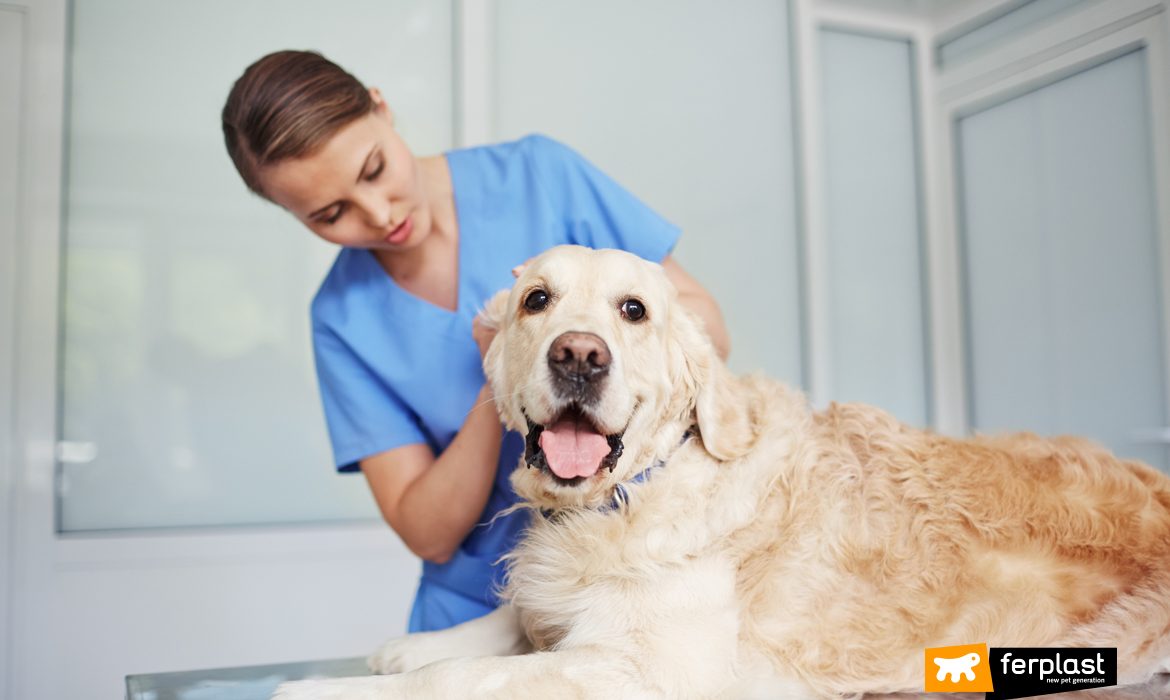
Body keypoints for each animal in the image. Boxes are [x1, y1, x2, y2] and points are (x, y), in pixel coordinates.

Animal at [273, 246, 1170, 700]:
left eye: (634, 310)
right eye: (536, 300)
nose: (579, 356)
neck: (630, 495)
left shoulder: (651, 669)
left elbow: (474, 674)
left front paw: (327, 690)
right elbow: (499, 627)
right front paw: (407, 646)